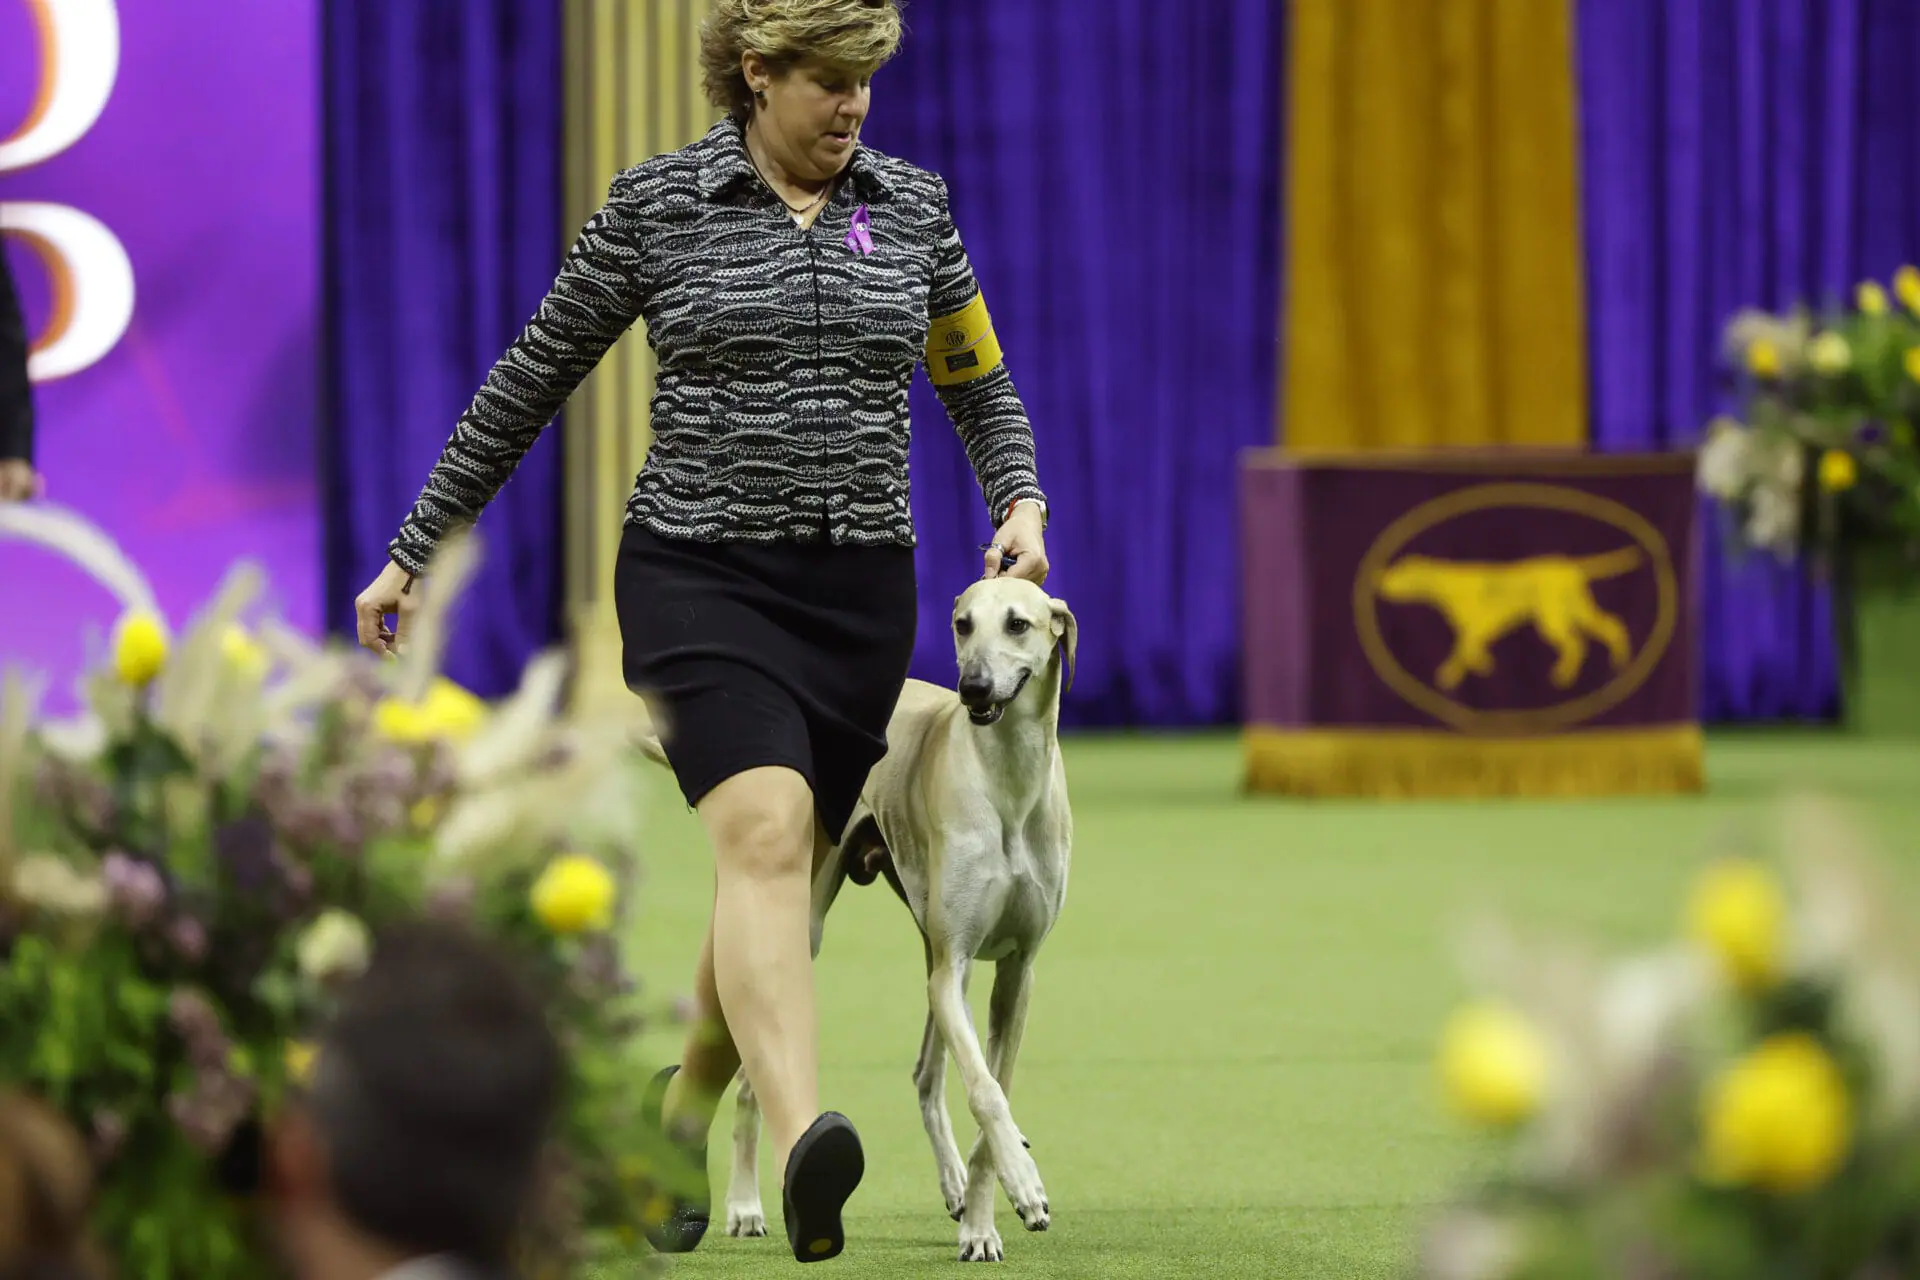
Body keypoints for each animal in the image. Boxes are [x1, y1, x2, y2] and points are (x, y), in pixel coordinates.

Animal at [645, 575, 1075, 1266]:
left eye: (1018, 623)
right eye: (962, 624)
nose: (974, 688)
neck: (1007, 782)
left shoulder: (1015, 971)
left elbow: (993, 1086)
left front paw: (988, 1216)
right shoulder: (953, 961)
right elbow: (985, 1092)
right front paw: (1020, 1183)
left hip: (933, 956)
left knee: (927, 1075)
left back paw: (956, 1186)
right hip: (800, 915)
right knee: (749, 1079)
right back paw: (744, 1205)